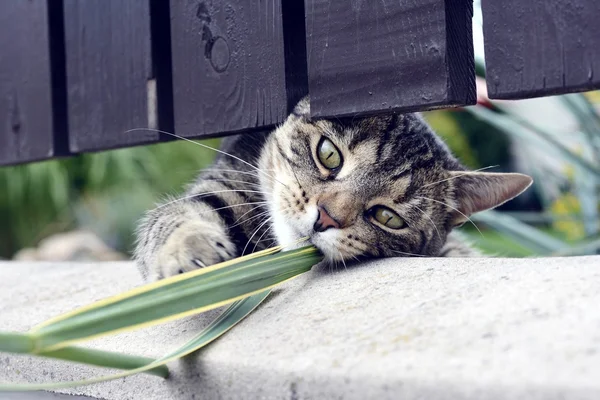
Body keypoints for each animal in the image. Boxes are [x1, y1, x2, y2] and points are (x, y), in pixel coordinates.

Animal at [134, 97, 532, 282]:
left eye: (388, 217)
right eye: (328, 154)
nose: (324, 218)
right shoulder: (222, 185)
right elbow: (175, 216)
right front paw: (190, 251)